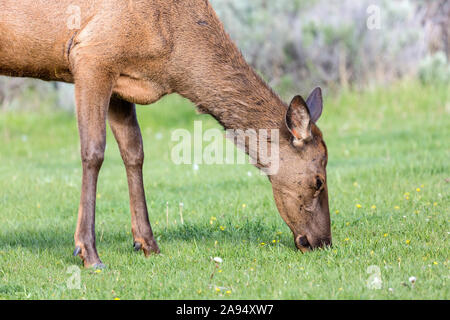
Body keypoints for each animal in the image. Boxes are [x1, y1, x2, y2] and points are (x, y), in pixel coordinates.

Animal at [0, 0, 330, 268]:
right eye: (318, 181)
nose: (323, 242)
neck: (174, 59)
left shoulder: (123, 80)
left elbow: (134, 152)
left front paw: (147, 243)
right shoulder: (91, 54)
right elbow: (93, 151)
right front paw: (88, 253)